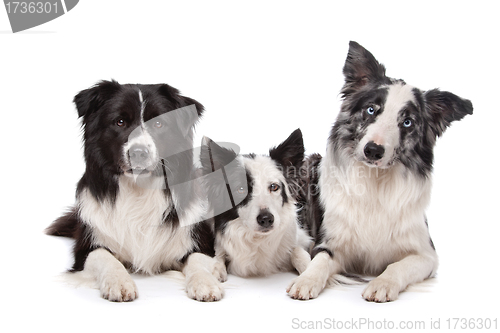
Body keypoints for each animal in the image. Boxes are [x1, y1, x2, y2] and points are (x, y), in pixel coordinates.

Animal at [46, 80, 223, 300]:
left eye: (158, 123)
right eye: (120, 122)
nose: (139, 153)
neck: (138, 190)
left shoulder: (199, 240)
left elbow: (198, 260)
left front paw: (206, 282)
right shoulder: (87, 247)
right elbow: (105, 257)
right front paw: (119, 282)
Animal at [290, 40, 472, 300]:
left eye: (407, 122)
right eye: (371, 110)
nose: (373, 150)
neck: (375, 183)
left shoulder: (427, 255)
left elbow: (398, 266)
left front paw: (383, 283)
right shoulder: (329, 244)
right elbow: (319, 262)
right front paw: (306, 280)